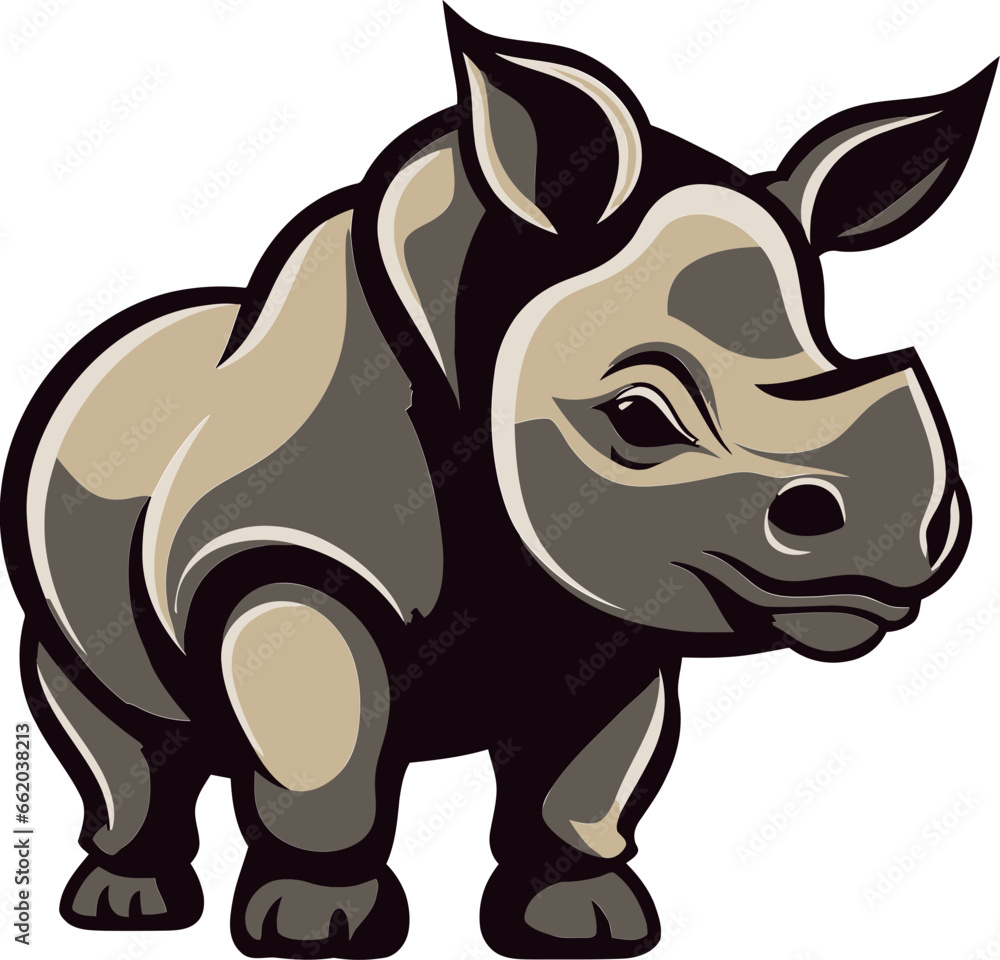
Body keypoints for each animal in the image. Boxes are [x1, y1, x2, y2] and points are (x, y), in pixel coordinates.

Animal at [2, 7, 993, 958]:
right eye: (637, 418)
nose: (890, 546)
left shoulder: (608, 604)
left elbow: (583, 784)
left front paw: (583, 926)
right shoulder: (280, 560)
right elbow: (325, 769)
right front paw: (315, 929)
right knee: (111, 719)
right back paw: (127, 909)